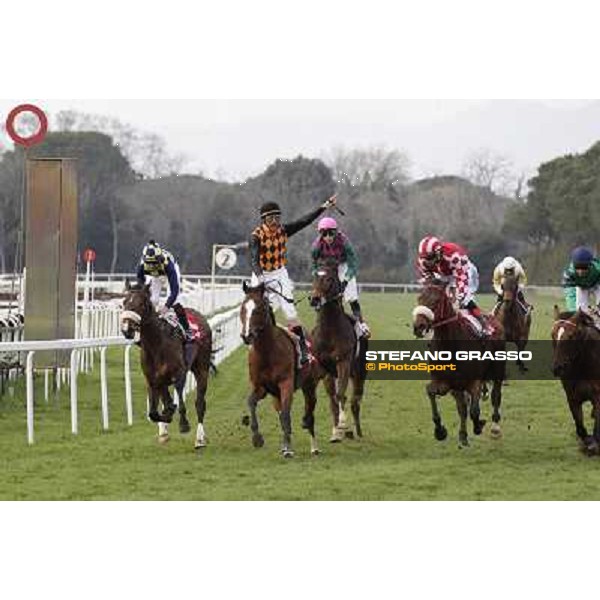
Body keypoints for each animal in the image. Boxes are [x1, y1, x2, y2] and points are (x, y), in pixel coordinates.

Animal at [120, 282, 213, 450]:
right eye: (124, 302)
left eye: (141, 304)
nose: (127, 330)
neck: (156, 344)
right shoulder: (152, 380)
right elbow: (154, 412)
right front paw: (166, 419)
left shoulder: (179, 373)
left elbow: (180, 398)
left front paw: (183, 423)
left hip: (201, 368)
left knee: (200, 403)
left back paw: (200, 439)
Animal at [240, 284, 322, 458]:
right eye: (243, 308)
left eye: (259, 308)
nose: (246, 335)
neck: (267, 352)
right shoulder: (261, 387)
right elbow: (251, 403)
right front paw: (257, 438)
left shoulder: (286, 383)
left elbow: (285, 415)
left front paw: (288, 449)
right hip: (275, 394)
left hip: (309, 385)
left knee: (309, 411)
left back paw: (314, 446)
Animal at [312, 260, 368, 442]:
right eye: (314, 276)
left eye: (330, 279)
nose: (314, 299)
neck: (329, 330)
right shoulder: (325, 368)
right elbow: (333, 400)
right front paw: (336, 431)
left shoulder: (343, 362)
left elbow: (341, 395)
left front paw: (343, 425)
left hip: (359, 373)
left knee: (355, 401)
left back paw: (356, 431)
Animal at [412, 282, 506, 446]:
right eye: (419, 298)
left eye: (436, 301)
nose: (418, 326)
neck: (450, 345)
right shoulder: (446, 383)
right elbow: (431, 392)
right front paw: (440, 431)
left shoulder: (474, 381)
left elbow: (474, 411)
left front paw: (478, 425)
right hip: (458, 386)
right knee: (462, 407)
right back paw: (463, 435)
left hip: (497, 370)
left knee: (495, 395)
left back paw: (495, 428)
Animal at [552, 310, 600, 454]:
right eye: (553, 335)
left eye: (571, 336)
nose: (558, 368)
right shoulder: (572, 397)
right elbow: (579, 426)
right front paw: (587, 442)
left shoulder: (598, 396)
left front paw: (594, 445)